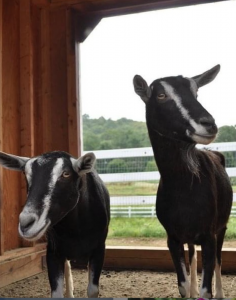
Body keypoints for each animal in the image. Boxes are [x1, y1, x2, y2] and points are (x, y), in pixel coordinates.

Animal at [0, 151, 109, 296]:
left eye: (66, 173)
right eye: (25, 174)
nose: (25, 223)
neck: (76, 232)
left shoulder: (99, 249)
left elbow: (93, 290)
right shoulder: (53, 251)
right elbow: (56, 292)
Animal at [133, 65, 232, 298]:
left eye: (196, 92)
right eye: (161, 95)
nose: (208, 124)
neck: (184, 189)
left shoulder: (209, 234)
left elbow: (207, 288)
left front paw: (208, 291)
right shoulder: (173, 238)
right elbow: (182, 286)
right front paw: (191, 290)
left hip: (222, 227)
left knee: (218, 259)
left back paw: (221, 293)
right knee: (193, 255)